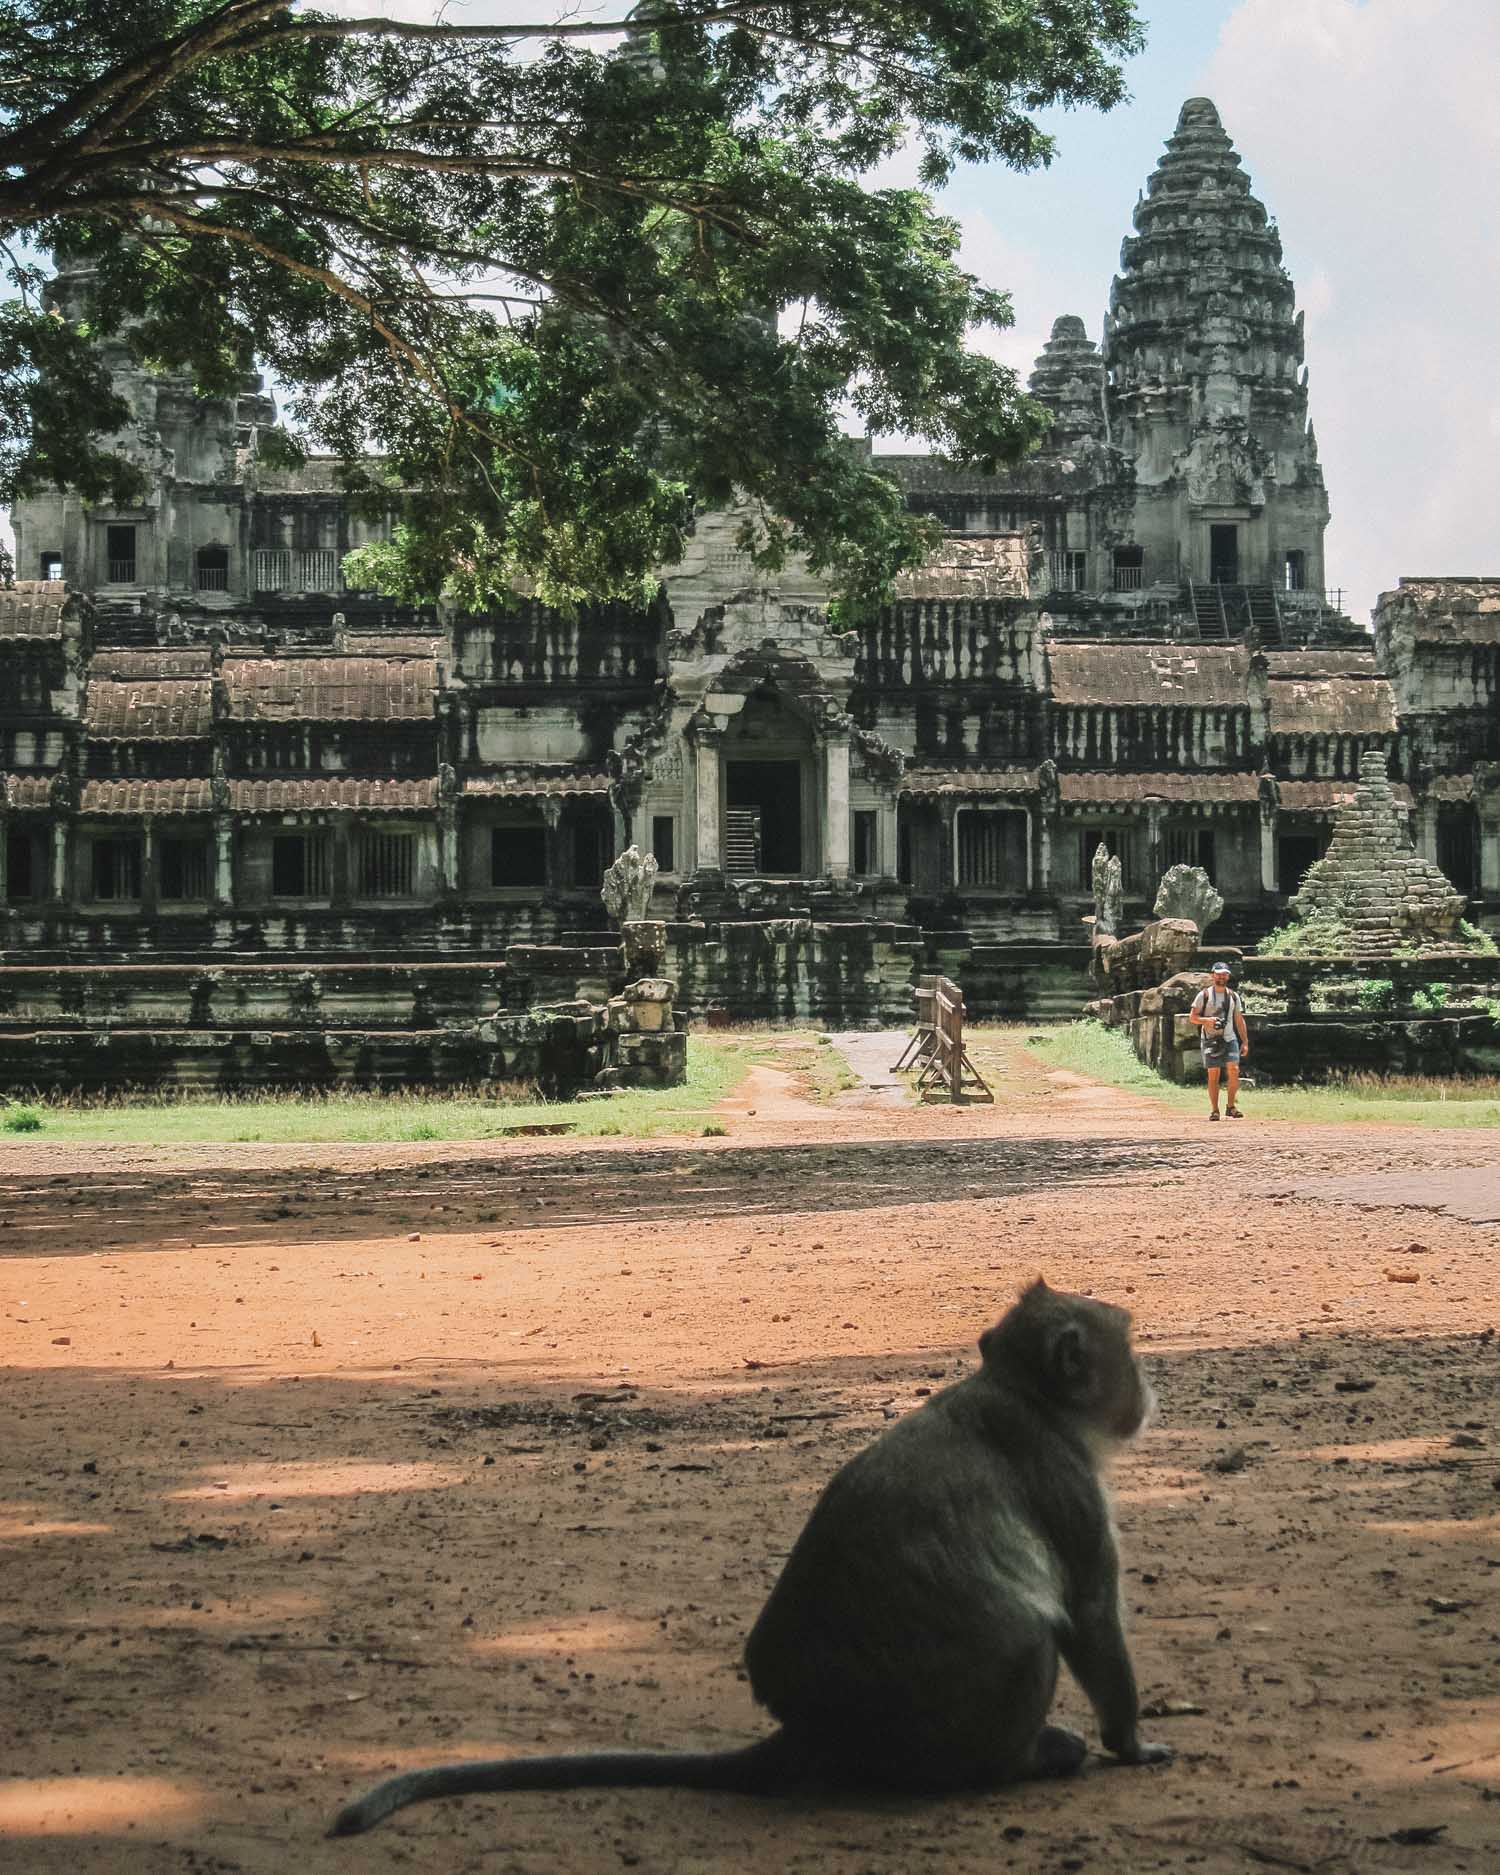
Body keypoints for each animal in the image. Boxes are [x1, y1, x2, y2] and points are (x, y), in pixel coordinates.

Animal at [328, 1282, 1170, 1837]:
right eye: (1126, 1349)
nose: (1147, 1391)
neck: (1022, 1394)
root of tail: (815, 1727)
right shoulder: (1067, 1478)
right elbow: (1089, 1612)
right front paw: (1130, 1743)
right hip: (949, 1728)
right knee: (1030, 1636)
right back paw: (1031, 1757)